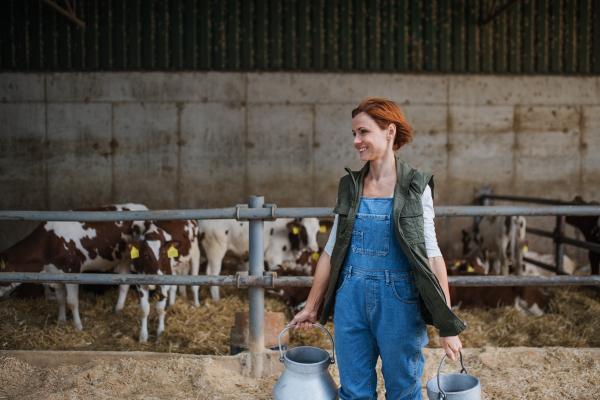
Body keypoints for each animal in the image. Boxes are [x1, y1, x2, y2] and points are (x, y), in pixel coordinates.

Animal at [0, 205, 149, 330]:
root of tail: (140, 207)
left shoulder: (72, 271)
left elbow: (72, 302)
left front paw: (78, 327)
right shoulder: (55, 275)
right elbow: (60, 299)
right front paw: (61, 321)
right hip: (123, 258)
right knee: (124, 281)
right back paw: (117, 309)